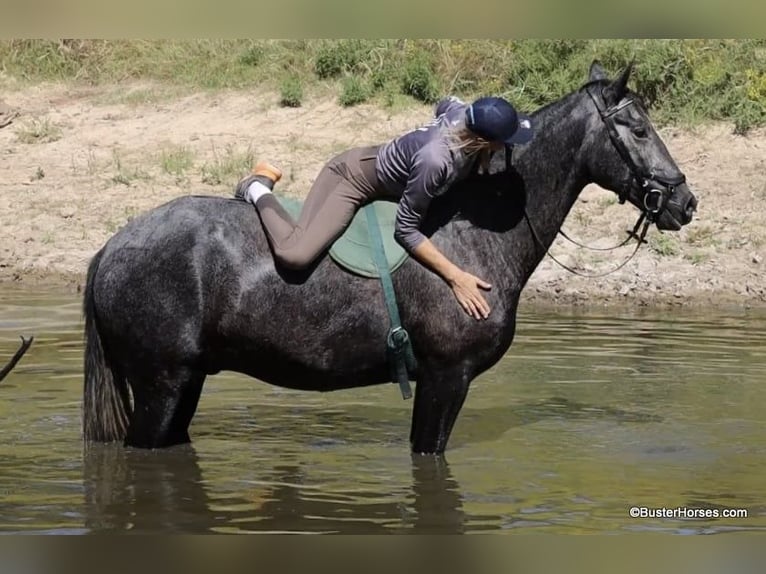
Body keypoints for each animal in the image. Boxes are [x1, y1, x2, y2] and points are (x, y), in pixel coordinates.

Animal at [84, 63, 704, 456]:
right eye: (638, 128)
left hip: (184, 384)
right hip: (162, 385)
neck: (474, 233)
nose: (684, 202)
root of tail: (111, 247)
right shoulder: (447, 378)